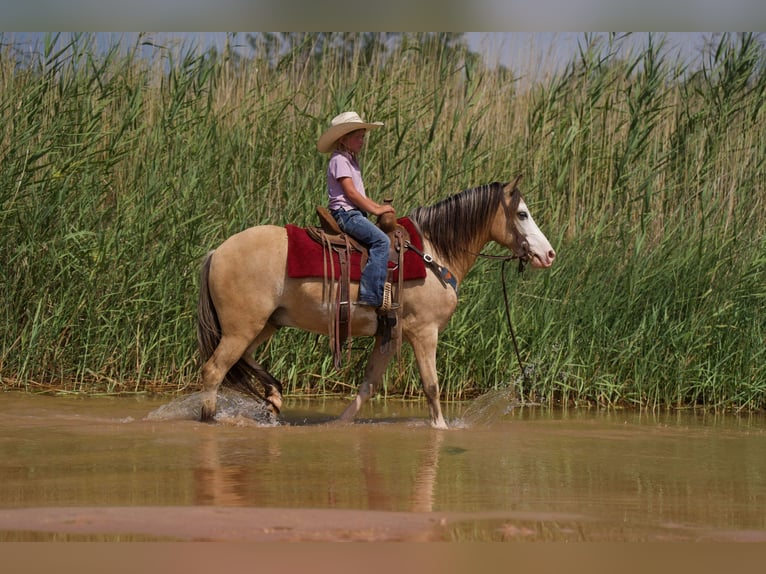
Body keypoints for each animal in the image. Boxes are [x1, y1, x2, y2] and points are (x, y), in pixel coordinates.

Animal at [196, 176, 556, 429]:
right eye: (522, 214)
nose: (548, 254)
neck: (433, 255)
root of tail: (217, 252)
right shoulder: (424, 333)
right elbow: (432, 386)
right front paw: (441, 429)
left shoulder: (387, 334)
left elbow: (367, 385)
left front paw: (338, 424)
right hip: (242, 328)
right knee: (214, 370)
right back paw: (211, 418)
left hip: (264, 325)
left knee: (244, 360)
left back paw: (273, 396)